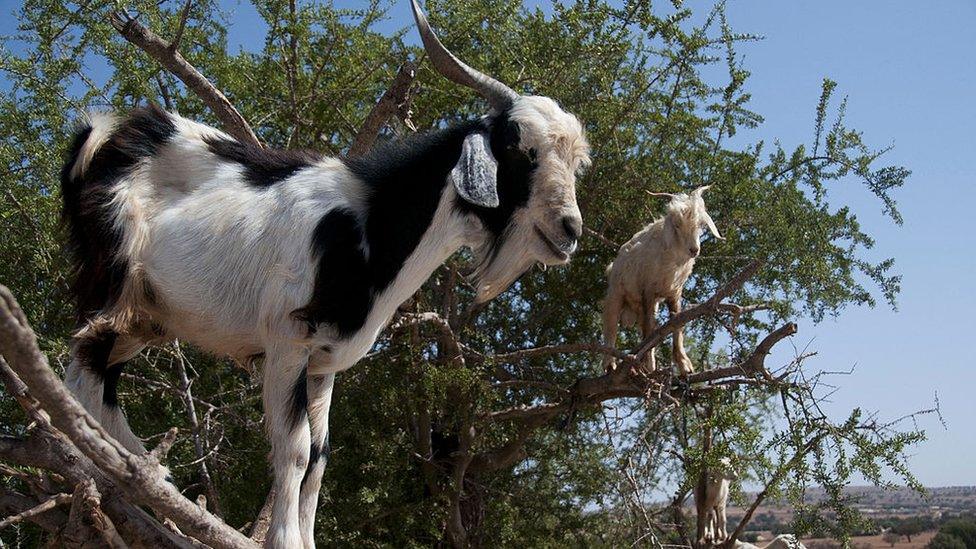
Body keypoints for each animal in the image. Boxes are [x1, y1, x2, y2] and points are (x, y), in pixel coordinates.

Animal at [61, 2, 592, 544]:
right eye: (520, 149)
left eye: (576, 163)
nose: (570, 229)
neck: (370, 225)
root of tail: (103, 135)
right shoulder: (286, 342)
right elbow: (293, 450)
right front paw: (283, 541)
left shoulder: (323, 363)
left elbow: (318, 459)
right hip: (114, 281)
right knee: (83, 369)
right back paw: (128, 474)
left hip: (149, 316)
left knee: (95, 374)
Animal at [600, 185, 720, 372]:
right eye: (677, 225)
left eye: (700, 225)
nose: (694, 250)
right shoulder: (648, 290)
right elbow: (650, 328)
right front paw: (650, 365)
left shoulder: (674, 292)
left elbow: (676, 324)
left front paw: (684, 365)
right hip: (616, 293)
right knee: (611, 325)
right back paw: (610, 364)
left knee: (642, 327)